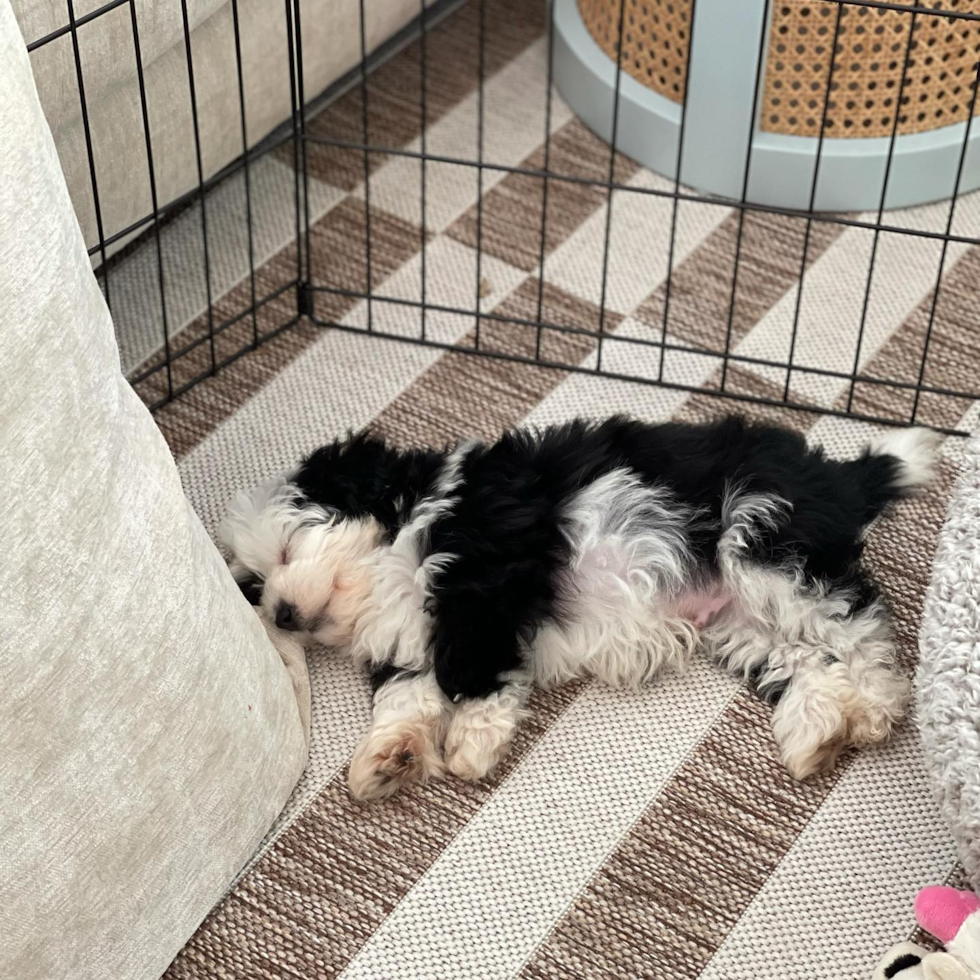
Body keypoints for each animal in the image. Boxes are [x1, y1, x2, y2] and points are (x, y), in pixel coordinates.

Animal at [218, 416, 936, 804]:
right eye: (255, 585)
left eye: (286, 548)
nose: (281, 613)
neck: (396, 542)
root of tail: (837, 476)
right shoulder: (408, 643)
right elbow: (407, 697)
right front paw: (386, 760)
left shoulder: (484, 571)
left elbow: (471, 664)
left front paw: (474, 739)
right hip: (742, 622)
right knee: (809, 659)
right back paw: (817, 732)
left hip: (763, 543)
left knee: (858, 628)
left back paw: (875, 708)